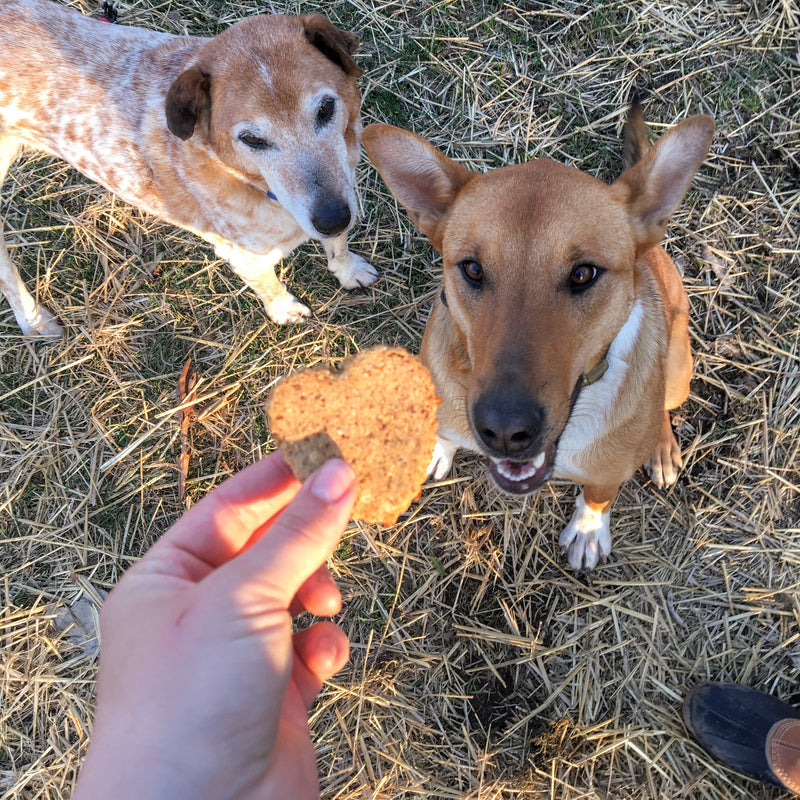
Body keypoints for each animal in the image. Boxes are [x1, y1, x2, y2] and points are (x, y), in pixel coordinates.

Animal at [0, 0, 376, 334]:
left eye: (326, 108)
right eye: (252, 139)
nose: (332, 218)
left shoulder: (341, 186)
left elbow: (339, 245)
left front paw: (348, 271)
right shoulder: (246, 258)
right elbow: (269, 286)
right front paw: (284, 310)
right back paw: (34, 319)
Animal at [362, 103, 712, 572]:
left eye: (584, 274)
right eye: (473, 269)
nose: (505, 430)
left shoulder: (606, 474)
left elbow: (598, 496)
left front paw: (588, 529)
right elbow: (444, 430)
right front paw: (435, 446)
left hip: (676, 371)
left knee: (663, 408)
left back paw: (661, 448)